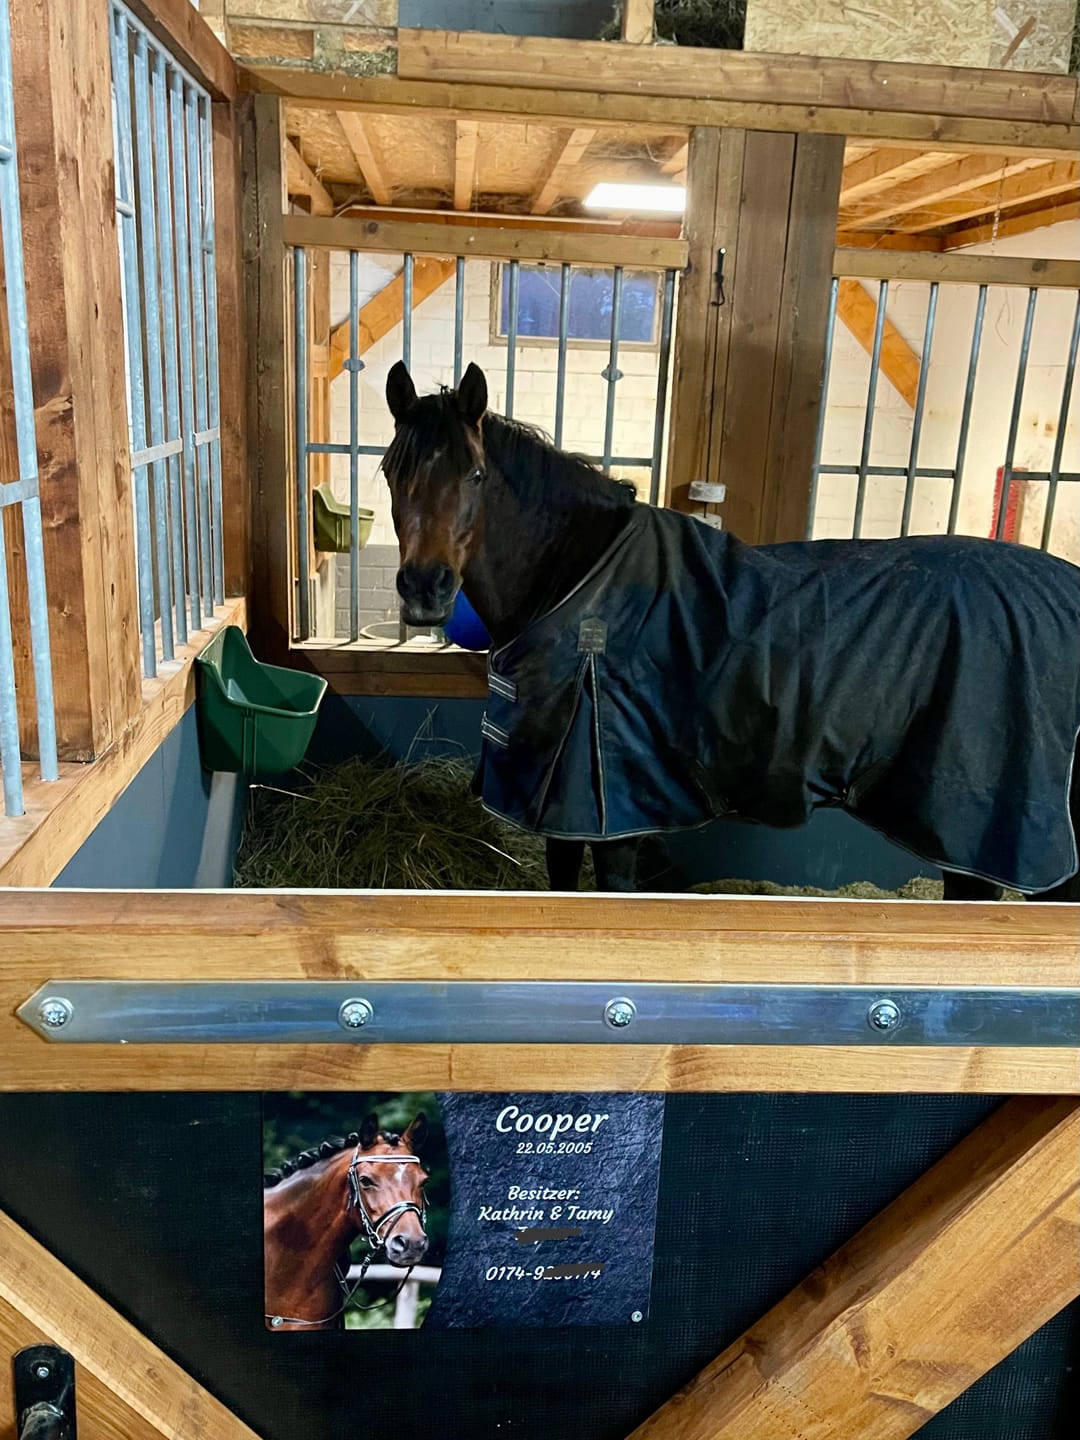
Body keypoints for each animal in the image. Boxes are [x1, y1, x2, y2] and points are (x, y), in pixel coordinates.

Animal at [382, 360, 1080, 903]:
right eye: (392, 470)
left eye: (474, 474)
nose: (425, 589)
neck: (581, 578)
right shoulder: (563, 809)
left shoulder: (613, 816)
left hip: (977, 835)